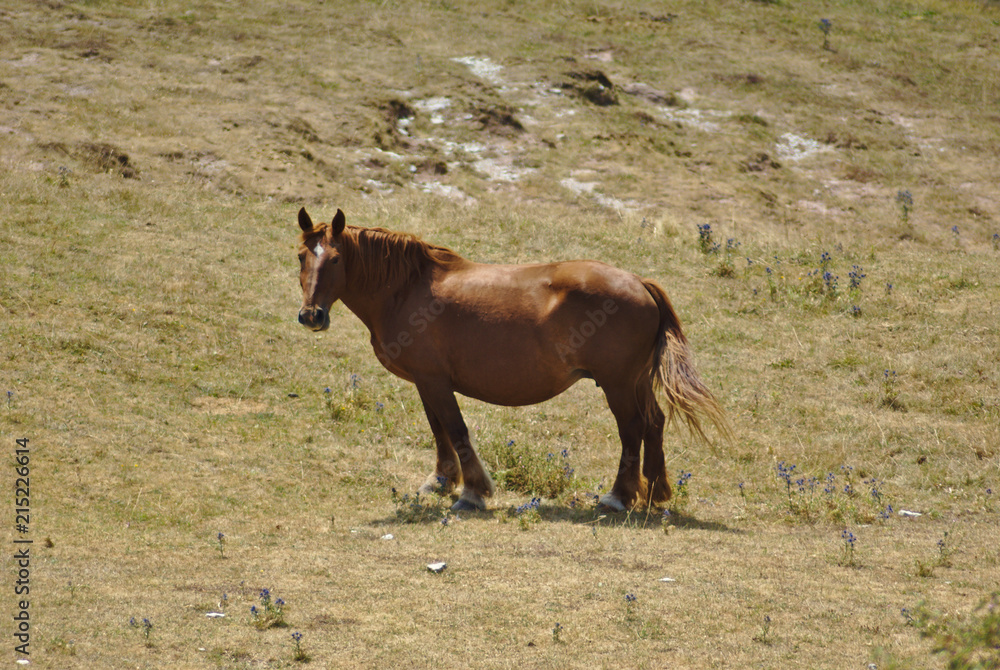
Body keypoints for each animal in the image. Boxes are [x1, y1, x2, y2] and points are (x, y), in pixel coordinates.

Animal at [296, 207, 731, 512]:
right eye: (301, 256)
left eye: (335, 259)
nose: (311, 316)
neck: (407, 288)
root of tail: (640, 283)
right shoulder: (426, 380)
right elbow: (439, 431)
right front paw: (441, 480)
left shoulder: (435, 380)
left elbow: (456, 430)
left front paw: (472, 491)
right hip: (635, 382)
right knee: (654, 423)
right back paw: (656, 493)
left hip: (618, 384)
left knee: (633, 429)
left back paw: (619, 497)